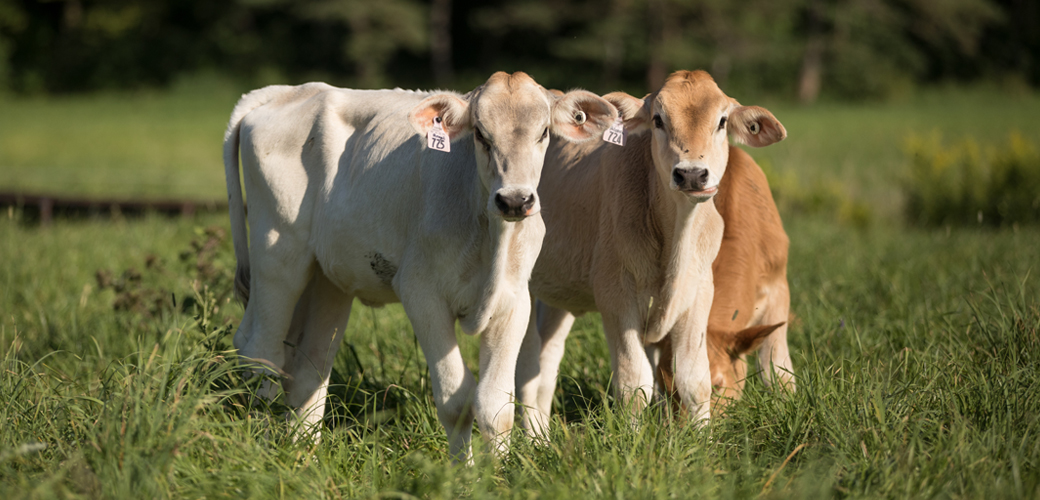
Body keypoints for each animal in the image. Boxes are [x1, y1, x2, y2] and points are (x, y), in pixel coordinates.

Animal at [222, 71, 611, 459]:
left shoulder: (514, 300)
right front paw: (464, 471)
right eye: (480, 134)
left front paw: (499, 469)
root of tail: (289, 91)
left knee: (309, 365)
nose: (515, 200)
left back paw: (302, 451)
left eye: (543, 132)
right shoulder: (421, 293)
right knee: (261, 355)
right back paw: (260, 448)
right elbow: (457, 401)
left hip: (327, 278)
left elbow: (495, 406)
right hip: (277, 253)